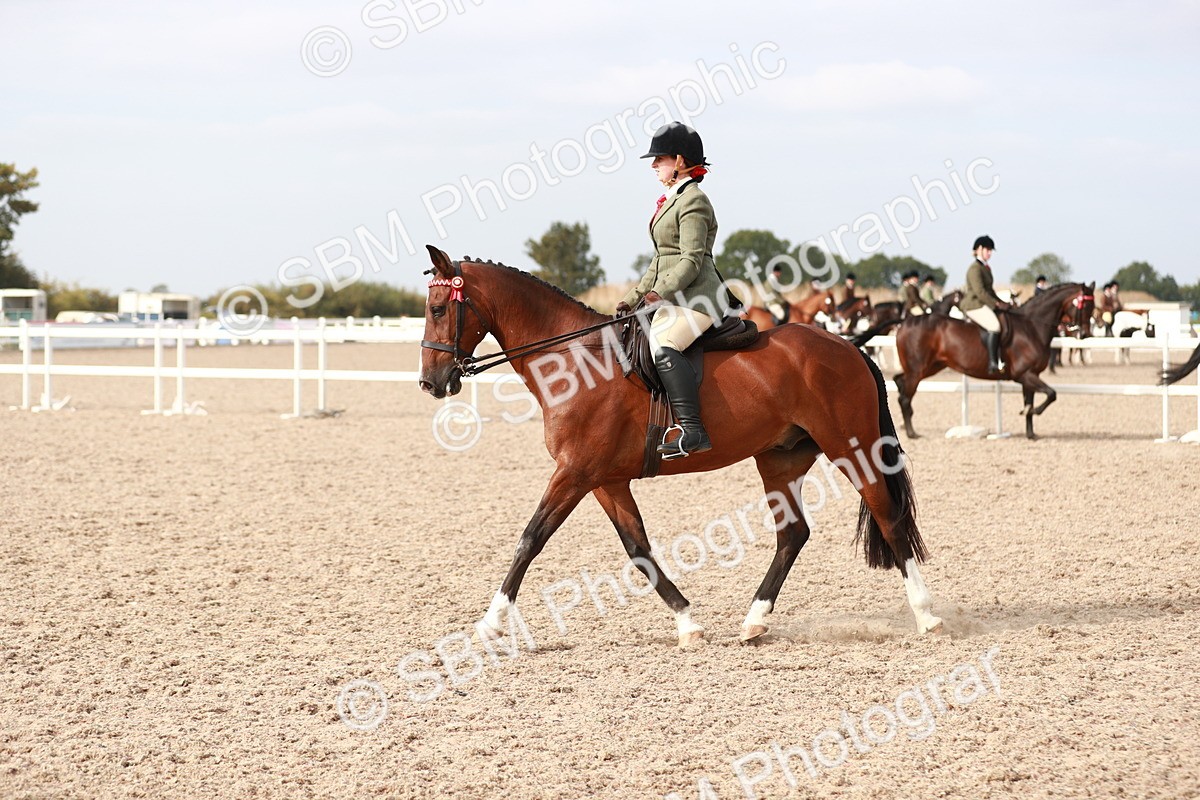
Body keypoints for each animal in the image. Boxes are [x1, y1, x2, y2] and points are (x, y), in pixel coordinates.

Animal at [417, 246, 942, 648]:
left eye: (440, 309)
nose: (430, 383)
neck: (574, 362)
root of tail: (847, 345)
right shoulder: (604, 479)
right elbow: (638, 549)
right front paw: (688, 623)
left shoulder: (574, 472)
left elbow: (530, 539)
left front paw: (488, 625)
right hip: (780, 459)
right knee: (793, 534)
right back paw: (754, 622)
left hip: (851, 448)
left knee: (887, 516)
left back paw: (927, 615)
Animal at [885, 282, 1095, 440]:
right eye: (1084, 306)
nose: (1084, 334)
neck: (1031, 327)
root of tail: (905, 322)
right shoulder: (1024, 375)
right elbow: (1051, 394)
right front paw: (1034, 413)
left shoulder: (1030, 375)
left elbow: (1031, 401)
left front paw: (1031, 433)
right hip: (918, 370)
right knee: (905, 396)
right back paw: (912, 433)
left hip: (931, 367)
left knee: (899, 382)